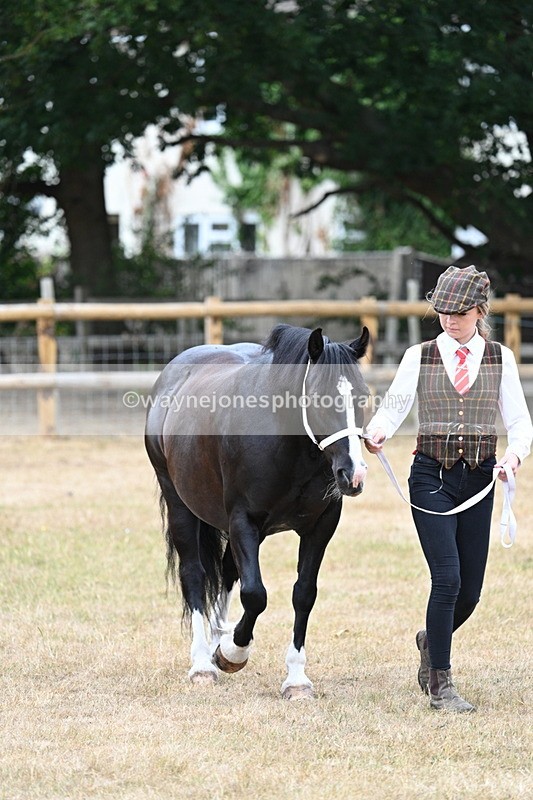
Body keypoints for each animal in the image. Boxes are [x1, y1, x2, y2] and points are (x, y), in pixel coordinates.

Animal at [145, 323, 370, 698]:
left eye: (363, 396)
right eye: (319, 397)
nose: (353, 474)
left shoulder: (320, 526)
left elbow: (303, 594)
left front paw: (296, 679)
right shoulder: (243, 521)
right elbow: (255, 595)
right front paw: (233, 652)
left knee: (226, 573)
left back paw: (218, 640)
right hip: (180, 506)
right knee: (194, 576)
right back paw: (203, 662)